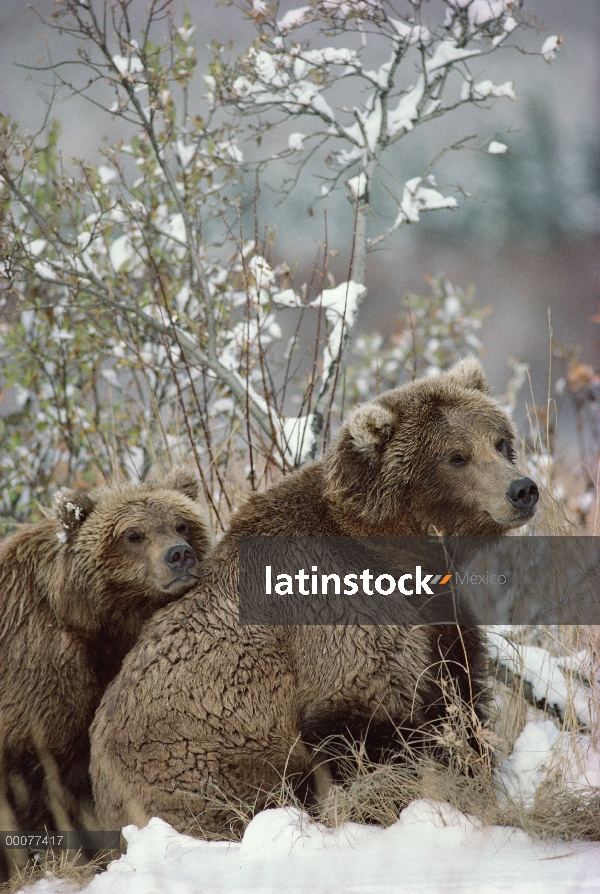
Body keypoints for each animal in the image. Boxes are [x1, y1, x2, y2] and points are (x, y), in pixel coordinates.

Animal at [89, 358, 540, 840]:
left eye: (500, 442)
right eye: (456, 456)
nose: (522, 490)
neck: (394, 554)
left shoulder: (438, 617)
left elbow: (459, 695)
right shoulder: (335, 618)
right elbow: (364, 725)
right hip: (197, 763)